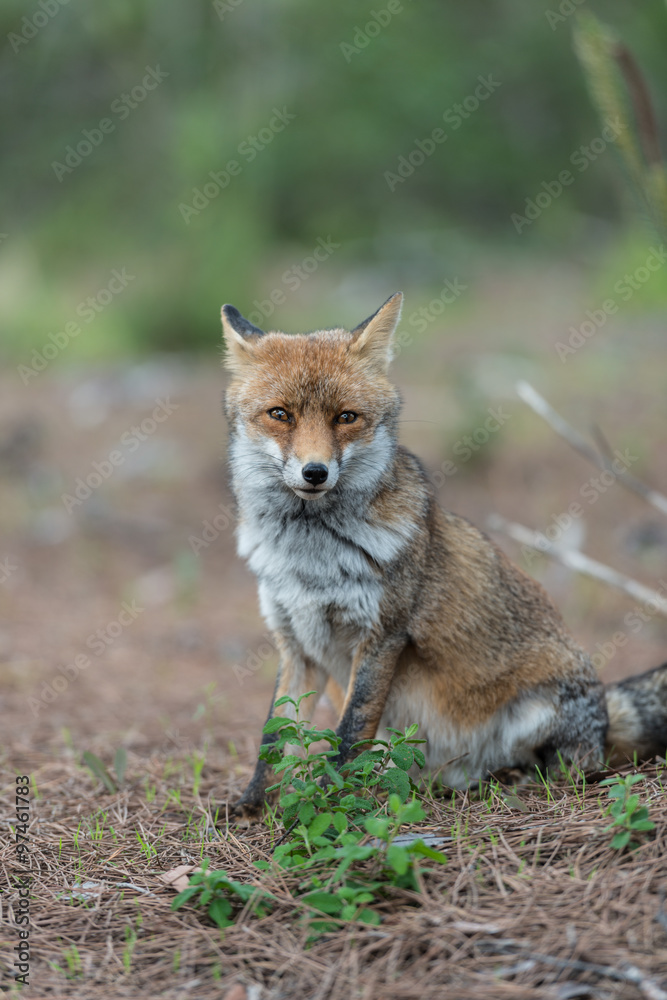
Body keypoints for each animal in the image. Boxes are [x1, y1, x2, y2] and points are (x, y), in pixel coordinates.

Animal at [221, 291, 667, 820]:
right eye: (280, 414)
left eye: (345, 417)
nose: (315, 472)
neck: (310, 558)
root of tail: (604, 714)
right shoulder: (295, 643)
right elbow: (274, 739)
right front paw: (251, 807)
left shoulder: (381, 635)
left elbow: (350, 735)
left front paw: (335, 804)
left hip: (536, 713)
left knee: (570, 767)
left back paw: (510, 779)